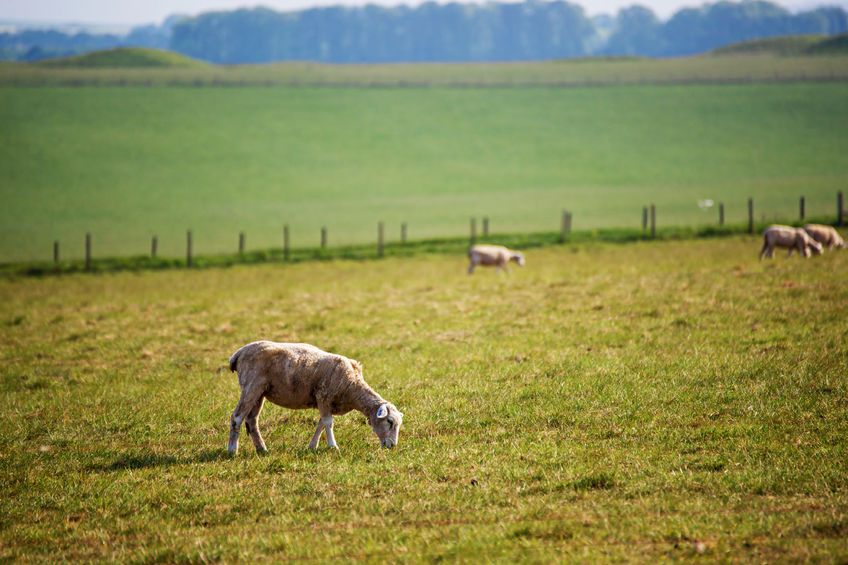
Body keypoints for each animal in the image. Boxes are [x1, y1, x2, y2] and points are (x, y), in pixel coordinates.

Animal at [227, 340, 402, 454]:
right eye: (389, 421)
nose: (392, 446)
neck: (352, 386)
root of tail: (238, 353)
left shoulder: (326, 403)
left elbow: (321, 424)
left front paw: (312, 446)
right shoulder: (324, 396)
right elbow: (328, 423)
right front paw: (333, 446)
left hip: (260, 392)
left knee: (252, 420)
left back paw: (262, 449)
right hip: (251, 386)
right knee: (237, 417)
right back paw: (232, 450)